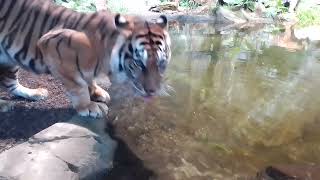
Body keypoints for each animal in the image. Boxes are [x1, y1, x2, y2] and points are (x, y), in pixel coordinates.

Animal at [0, 0, 172, 118]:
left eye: (161, 63)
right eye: (139, 63)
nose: (152, 91)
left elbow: (88, 78)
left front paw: (97, 92)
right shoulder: (52, 44)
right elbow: (78, 85)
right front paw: (89, 106)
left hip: (9, 61)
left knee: (10, 83)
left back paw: (35, 93)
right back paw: (4, 105)